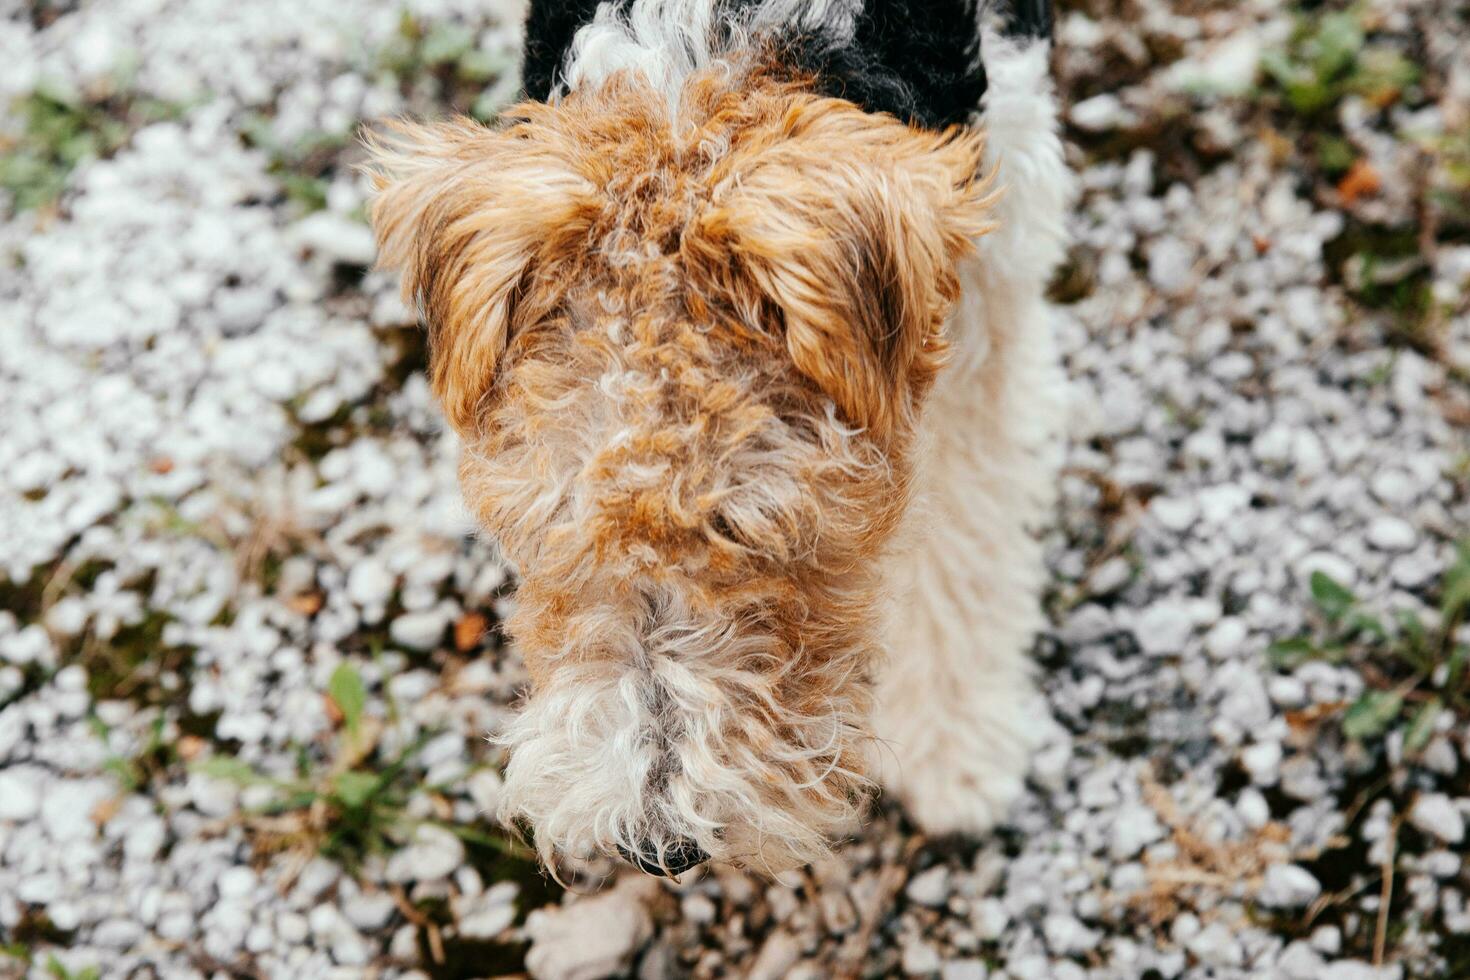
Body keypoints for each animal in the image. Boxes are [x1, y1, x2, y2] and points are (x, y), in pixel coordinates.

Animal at [366, 0, 1070, 875]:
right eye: (550, 527)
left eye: (744, 523)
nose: (660, 850)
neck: (719, 40)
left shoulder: (991, 286)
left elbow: (967, 535)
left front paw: (955, 755)